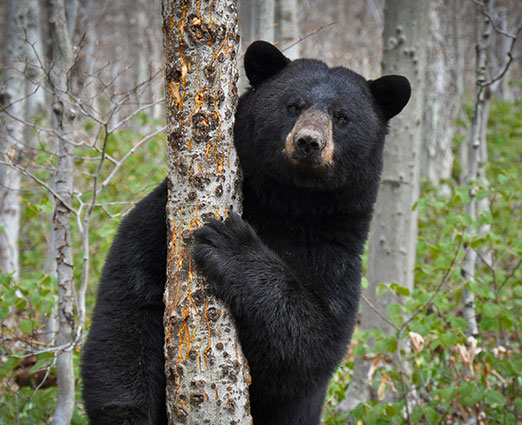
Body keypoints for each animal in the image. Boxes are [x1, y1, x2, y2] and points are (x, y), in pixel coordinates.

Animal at [81, 40, 408, 424]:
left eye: (342, 117)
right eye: (293, 105)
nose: (308, 142)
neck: (289, 204)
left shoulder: (336, 254)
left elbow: (311, 346)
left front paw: (231, 245)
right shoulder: (157, 223)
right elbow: (128, 309)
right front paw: (128, 414)